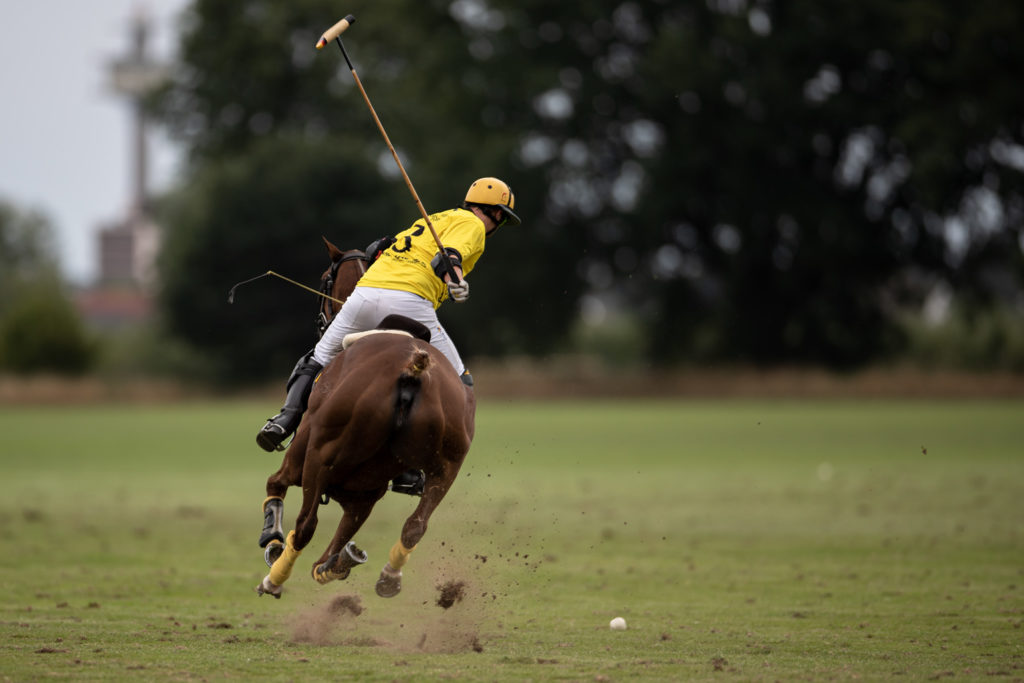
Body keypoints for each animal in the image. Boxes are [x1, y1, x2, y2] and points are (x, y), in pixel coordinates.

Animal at [256, 237, 479, 602]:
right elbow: (328, 556)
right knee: (415, 525)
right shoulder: (361, 498)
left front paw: (271, 541)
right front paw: (340, 562)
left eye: (324, 278)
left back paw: (273, 579)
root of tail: (412, 368)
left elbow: (275, 486)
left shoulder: (299, 463)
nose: (321, 322)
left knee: (305, 525)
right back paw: (386, 576)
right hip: (447, 466)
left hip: (317, 456)